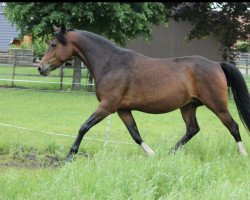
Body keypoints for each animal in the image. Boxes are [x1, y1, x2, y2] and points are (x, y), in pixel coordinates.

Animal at [38, 25, 249, 159]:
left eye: (53, 44)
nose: (41, 68)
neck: (110, 63)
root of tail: (217, 64)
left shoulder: (106, 106)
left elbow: (84, 127)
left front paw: (70, 155)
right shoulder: (122, 110)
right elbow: (135, 134)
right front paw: (152, 154)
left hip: (217, 105)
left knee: (233, 126)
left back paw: (243, 155)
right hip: (188, 107)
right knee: (192, 129)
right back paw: (169, 153)